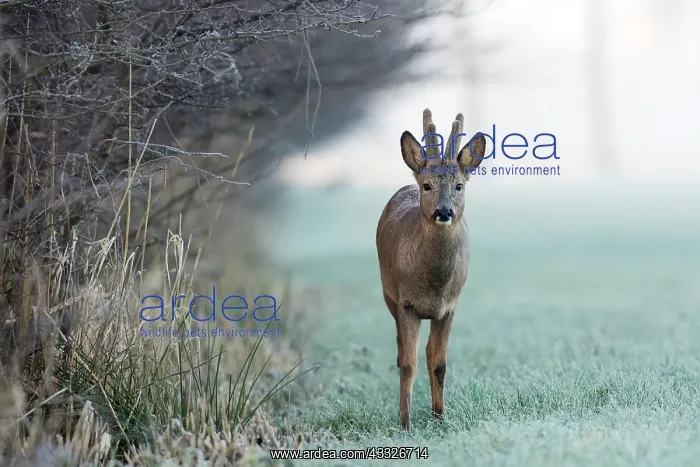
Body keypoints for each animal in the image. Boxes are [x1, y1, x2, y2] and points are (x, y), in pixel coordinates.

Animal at [375, 108, 485, 433]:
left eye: (459, 185)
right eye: (428, 186)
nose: (443, 211)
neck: (434, 285)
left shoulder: (449, 307)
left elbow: (438, 363)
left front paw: (440, 417)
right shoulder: (406, 303)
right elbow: (408, 365)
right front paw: (405, 424)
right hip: (388, 296)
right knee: (401, 352)